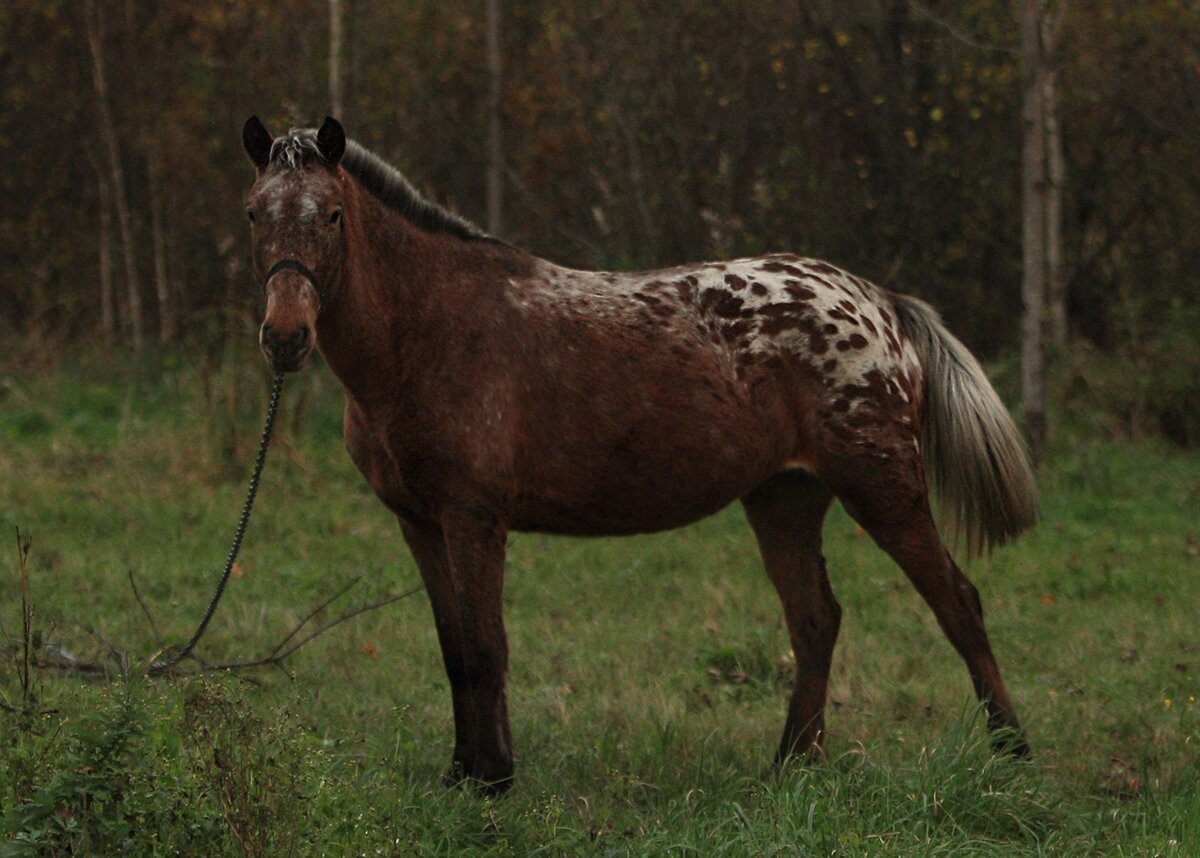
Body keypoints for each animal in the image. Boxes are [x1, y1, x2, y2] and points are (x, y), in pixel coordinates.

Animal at [241, 115, 1032, 796]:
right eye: (253, 213)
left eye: (332, 215)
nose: (284, 337)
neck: (430, 326)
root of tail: (878, 301)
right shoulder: (420, 522)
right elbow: (455, 650)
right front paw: (464, 772)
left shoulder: (473, 518)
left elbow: (487, 647)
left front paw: (494, 778)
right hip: (784, 498)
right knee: (815, 621)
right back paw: (790, 767)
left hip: (883, 489)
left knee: (957, 603)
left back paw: (1010, 755)